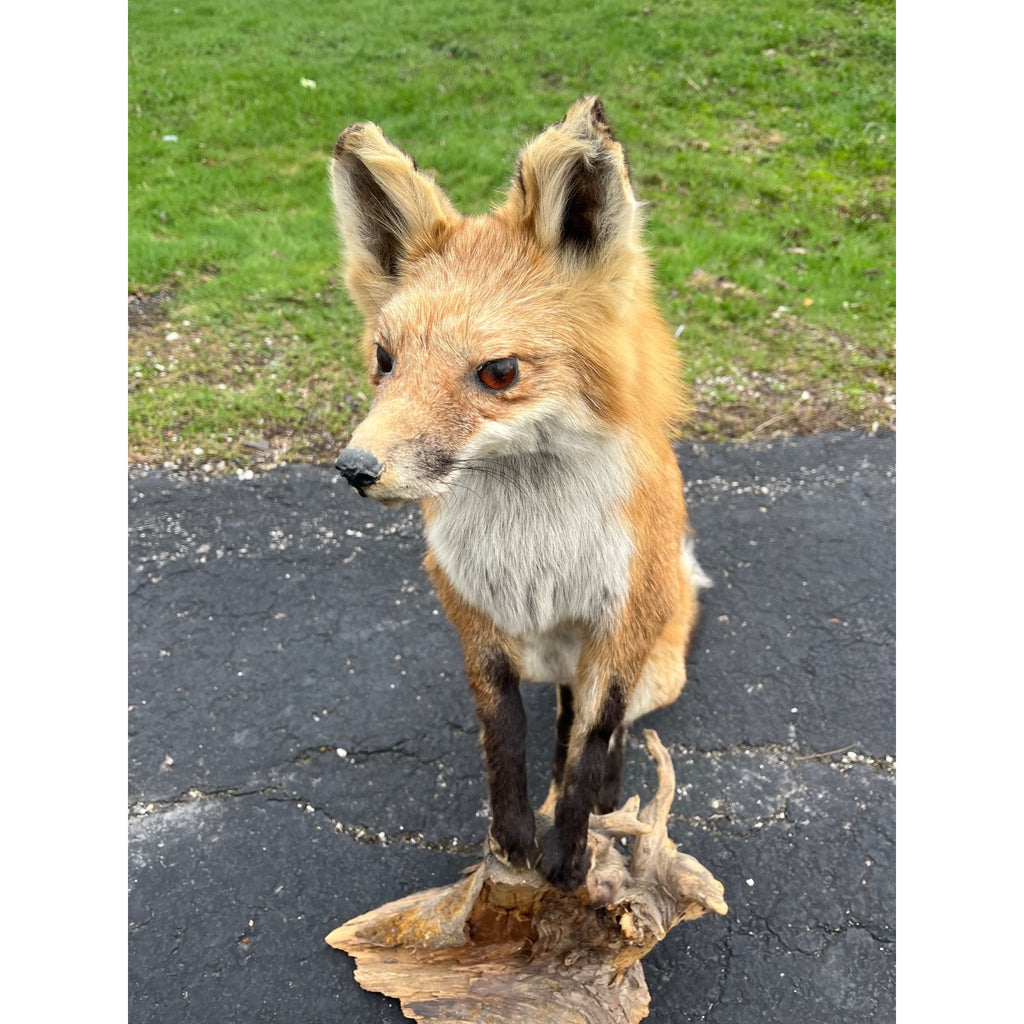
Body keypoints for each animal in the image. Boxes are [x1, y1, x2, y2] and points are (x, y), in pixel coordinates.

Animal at [330, 97, 709, 893]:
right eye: (384, 359)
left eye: (498, 372)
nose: (355, 467)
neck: (534, 547)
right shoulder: (475, 620)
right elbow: (505, 738)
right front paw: (511, 846)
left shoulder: (620, 624)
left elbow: (593, 742)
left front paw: (568, 863)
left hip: (651, 663)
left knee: (606, 728)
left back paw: (604, 799)